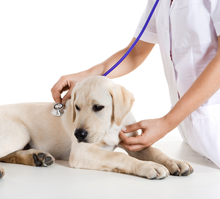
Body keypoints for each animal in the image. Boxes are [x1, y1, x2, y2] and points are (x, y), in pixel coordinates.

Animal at [0, 76, 192, 179]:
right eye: (77, 107)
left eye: (98, 107)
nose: (79, 134)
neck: (111, 127)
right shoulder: (81, 152)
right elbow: (119, 157)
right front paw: (150, 167)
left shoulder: (134, 141)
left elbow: (155, 151)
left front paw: (175, 163)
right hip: (19, 132)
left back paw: (37, 157)